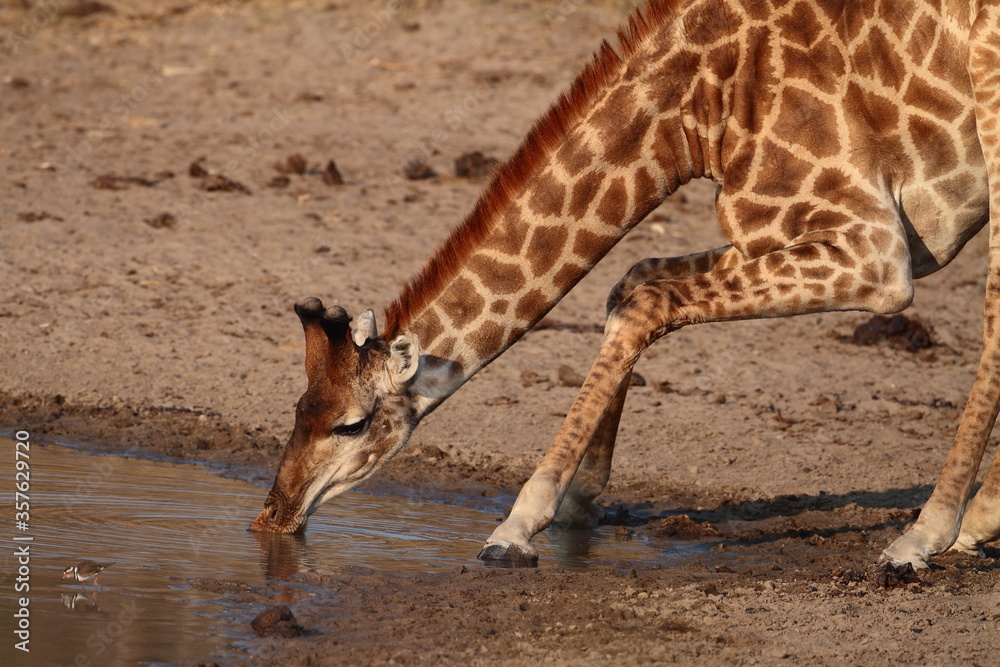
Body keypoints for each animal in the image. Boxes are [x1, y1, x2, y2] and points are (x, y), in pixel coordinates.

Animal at [252, 0, 1000, 570]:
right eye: (297, 408)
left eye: (351, 423)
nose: (271, 516)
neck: (694, 112)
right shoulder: (796, 242)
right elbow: (634, 283)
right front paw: (581, 504)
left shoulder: (876, 254)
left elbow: (646, 300)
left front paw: (516, 526)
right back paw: (973, 523)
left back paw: (926, 534)